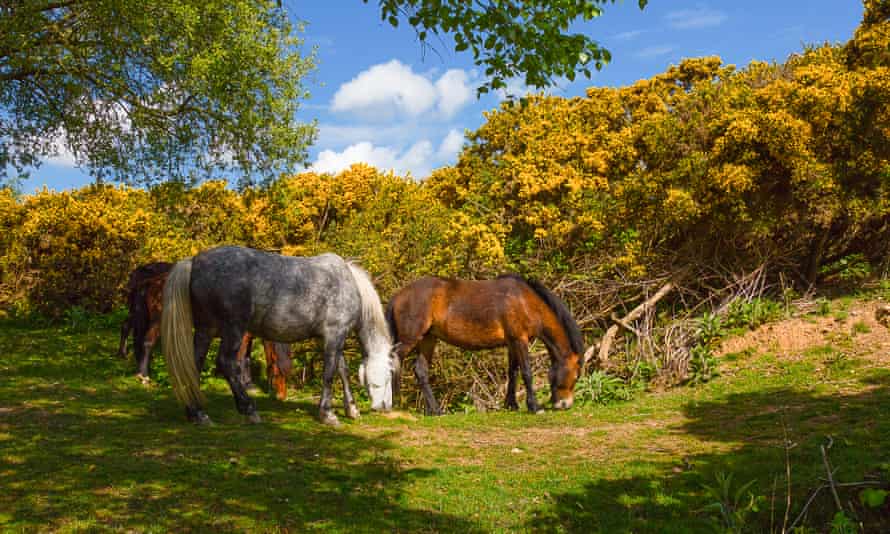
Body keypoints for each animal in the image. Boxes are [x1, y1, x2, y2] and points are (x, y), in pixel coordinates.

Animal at [160, 247, 396, 428]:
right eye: (385, 379)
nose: (385, 407)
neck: (349, 283)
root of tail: (195, 262)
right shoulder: (335, 335)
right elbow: (330, 373)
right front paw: (327, 414)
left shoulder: (330, 339)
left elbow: (342, 370)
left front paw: (351, 409)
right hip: (233, 329)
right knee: (226, 363)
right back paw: (248, 410)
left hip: (205, 329)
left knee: (193, 365)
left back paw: (197, 414)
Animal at [386, 274, 584, 416]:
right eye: (575, 377)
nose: (565, 404)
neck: (526, 302)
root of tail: (398, 295)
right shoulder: (520, 340)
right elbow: (527, 373)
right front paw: (534, 407)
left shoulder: (512, 343)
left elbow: (513, 373)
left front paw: (511, 404)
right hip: (410, 338)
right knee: (393, 360)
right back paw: (394, 403)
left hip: (428, 339)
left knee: (420, 370)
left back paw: (434, 410)